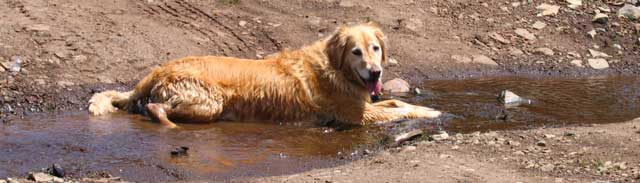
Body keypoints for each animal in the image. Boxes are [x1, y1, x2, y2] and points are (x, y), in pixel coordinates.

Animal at [89, 22, 440, 128]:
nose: (376, 71)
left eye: (375, 48)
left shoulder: (363, 103)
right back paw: (166, 121)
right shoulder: (357, 115)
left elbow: (396, 104)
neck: (334, 67)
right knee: (155, 107)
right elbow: (399, 110)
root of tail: (155, 71)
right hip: (209, 101)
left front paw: (426, 108)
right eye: (356, 52)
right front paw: (430, 112)